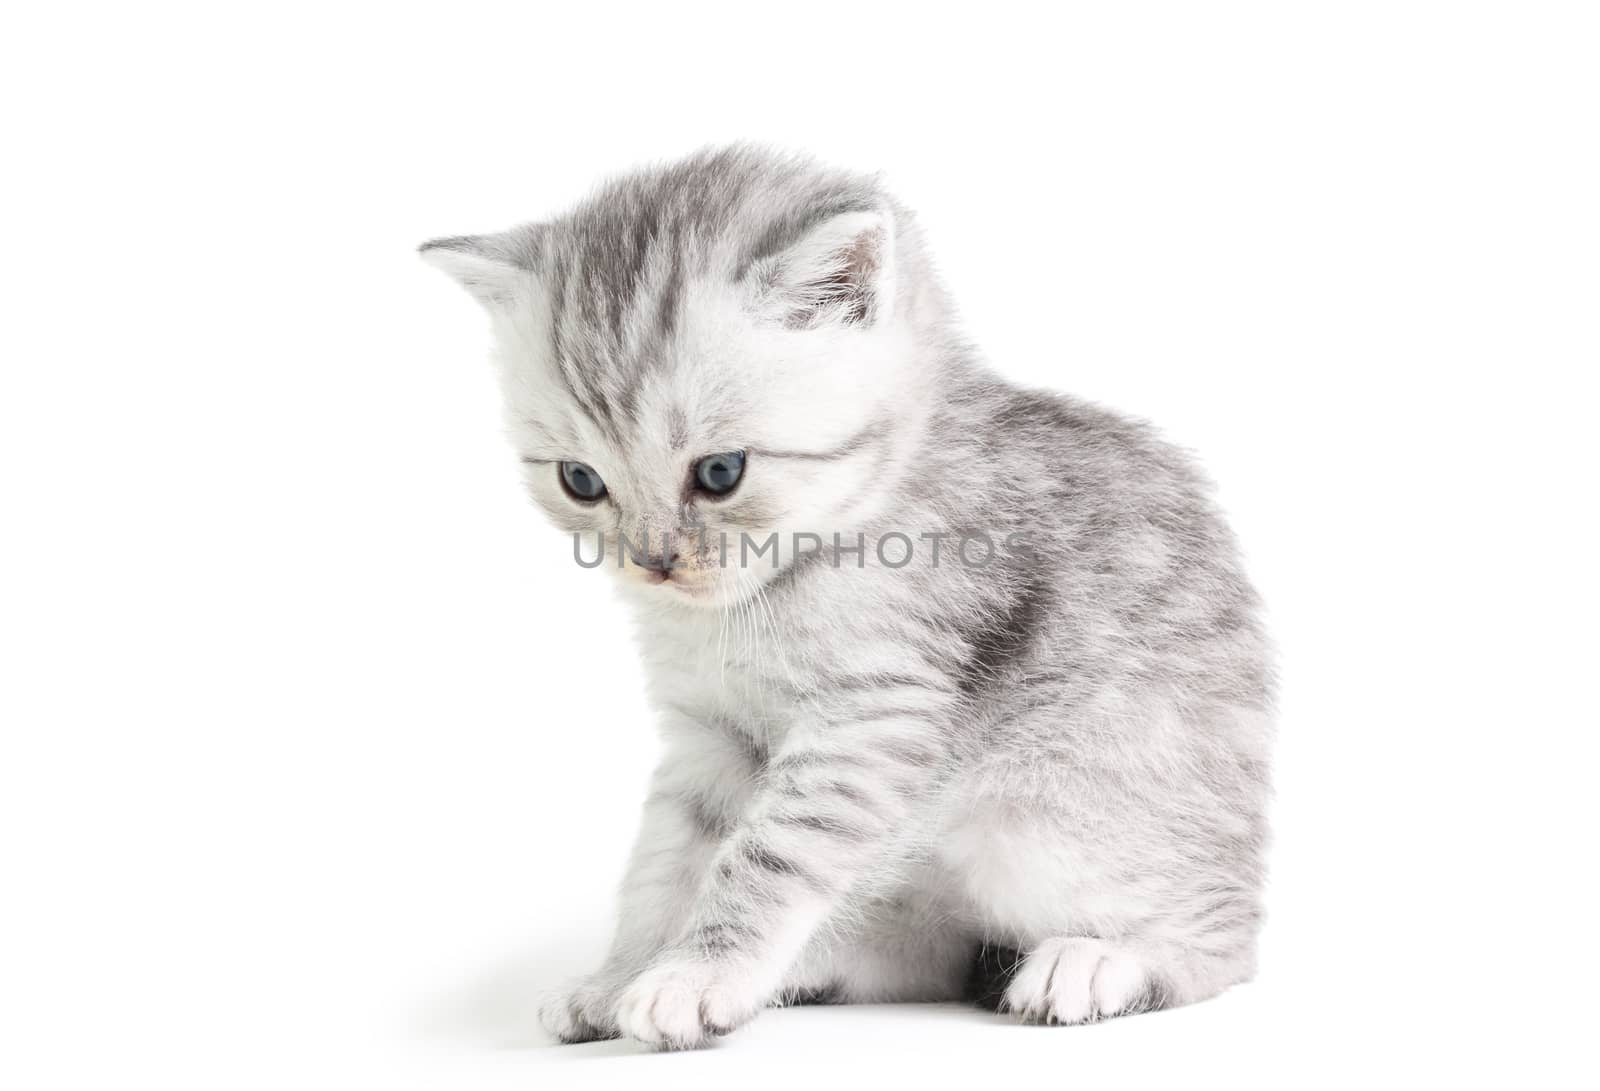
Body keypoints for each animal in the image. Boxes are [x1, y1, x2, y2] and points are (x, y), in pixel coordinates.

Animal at [422, 144, 1273, 1043]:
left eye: (720, 472)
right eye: (580, 481)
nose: (653, 561)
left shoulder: (873, 715)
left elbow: (767, 856)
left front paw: (694, 973)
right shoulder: (706, 736)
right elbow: (665, 863)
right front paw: (623, 972)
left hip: (1050, 822)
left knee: (1220, 941)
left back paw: (1096, 959)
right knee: (929, 955)